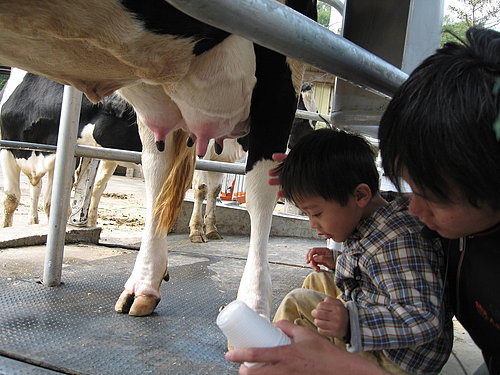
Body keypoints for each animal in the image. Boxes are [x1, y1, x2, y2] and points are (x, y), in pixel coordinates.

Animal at [0, 69, 141, 229]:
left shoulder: (58, 157)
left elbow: (51, 204)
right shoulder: (7, 148)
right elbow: (11, 199)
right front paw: (6, 226)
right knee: (36, 186)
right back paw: (32, 220)